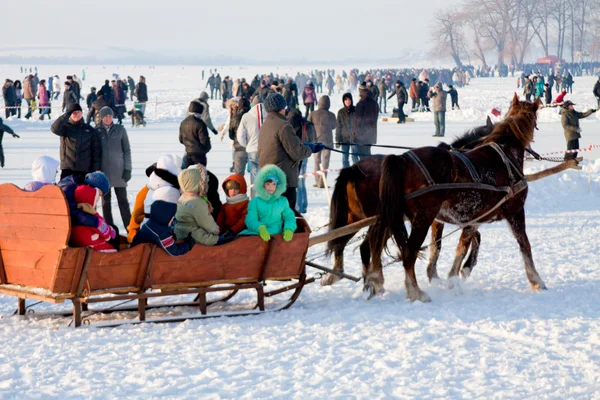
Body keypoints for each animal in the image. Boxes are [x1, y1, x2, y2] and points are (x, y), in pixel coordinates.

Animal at [324, 117, 496, 286]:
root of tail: (353, 170)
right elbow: (458, 241)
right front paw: (464, 268)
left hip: (355, 218)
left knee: (343, 243)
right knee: (366, 246)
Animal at [368, 94, 548, 300]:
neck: (505, 153)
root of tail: (402, 159)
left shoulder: (467, 220)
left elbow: (454, 248)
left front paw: (454, 275)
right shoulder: (515, 212)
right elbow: (524, 246)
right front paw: (537, 281)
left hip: (396, 214)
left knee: (376, 241)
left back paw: (376, 281)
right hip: (421, 219)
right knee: (408, 253)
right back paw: (415, 292)